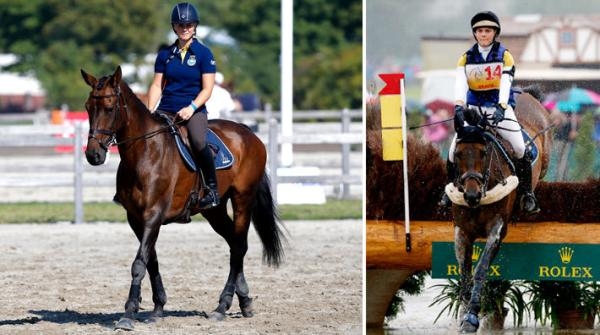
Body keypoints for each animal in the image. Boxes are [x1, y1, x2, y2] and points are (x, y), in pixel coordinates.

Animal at [80, 66, 286, 330]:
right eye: (88, 107)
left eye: (109, 108)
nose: (93, 155)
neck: (144, 152)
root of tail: (247, 132)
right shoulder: (135, 218)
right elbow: (151, 260)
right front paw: (157, 308)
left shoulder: (154, 214)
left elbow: (139, 263)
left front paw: (128, 314)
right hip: (214, 211)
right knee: (234, 243)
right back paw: (244, 300)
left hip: (243, 199)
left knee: (239, 246)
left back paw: (222, 306)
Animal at [448, 91, 552, 334]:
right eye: (457, 154)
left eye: (484, 152)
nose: (472, 196)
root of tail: (525, 94)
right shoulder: (462, 231)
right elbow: (464, 272)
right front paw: (464, 314)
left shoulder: (497, 229)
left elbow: (480, 270)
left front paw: (472, 316)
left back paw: (529, 199)